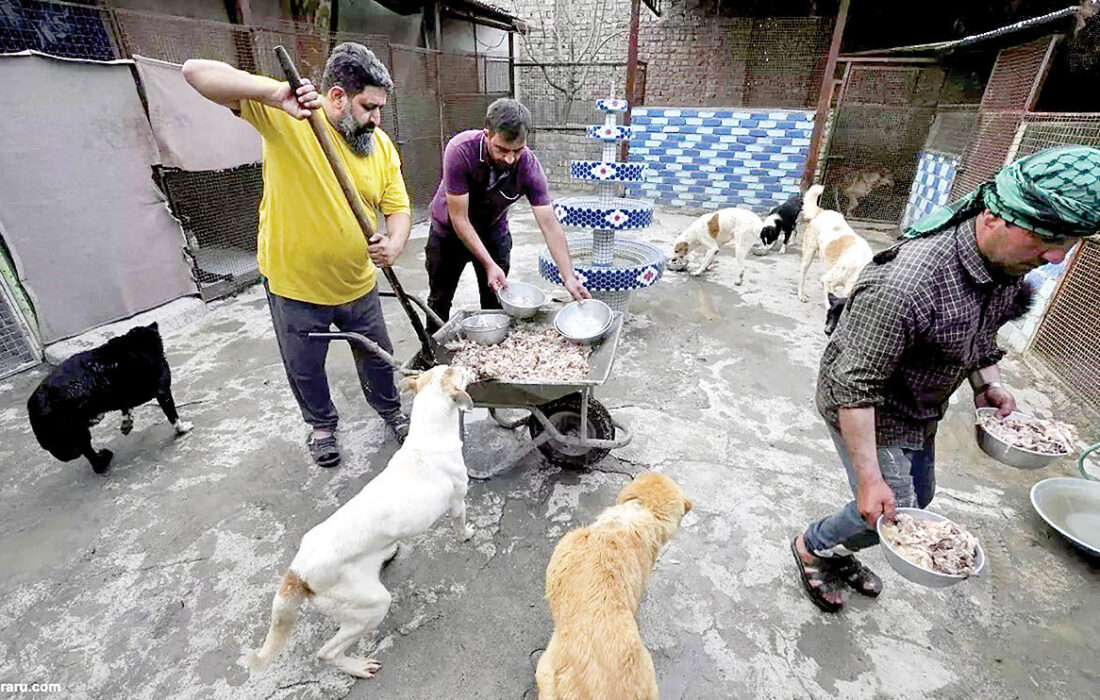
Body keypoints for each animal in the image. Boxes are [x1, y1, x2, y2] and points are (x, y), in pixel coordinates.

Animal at [26, 323, 189, 475]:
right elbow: (173, 416)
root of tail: (34, 407)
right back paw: (103, 458)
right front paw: (183, 429)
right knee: (88, 455)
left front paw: (126, 423)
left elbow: (126, 408)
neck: (136, 343)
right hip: (74, 439)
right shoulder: (163, 391)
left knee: (88, 454)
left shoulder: (124, 396)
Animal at [245, 365, 473, 677]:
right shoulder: (457, 501)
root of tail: (297, 571)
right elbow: (460, 525)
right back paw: (357, 667)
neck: (428, 436)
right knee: (326, 653)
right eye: (454, 371)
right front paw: (467, 535)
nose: (464, 365)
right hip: (373, 605)